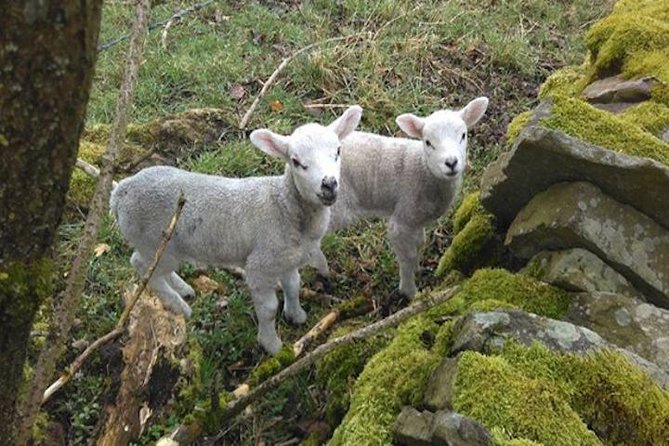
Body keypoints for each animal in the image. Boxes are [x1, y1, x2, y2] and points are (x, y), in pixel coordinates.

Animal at [109, 106, 360, 354]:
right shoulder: (260, 265)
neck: (283, 205)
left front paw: (296, 315)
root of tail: (121, 190)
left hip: (163, 245)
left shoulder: (287, 260)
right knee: (141, 265)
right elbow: (269, 308)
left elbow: (293, 286)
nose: (329, 185)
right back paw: (179, 305)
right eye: (296, 161)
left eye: (338, 151)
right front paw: (272, 345)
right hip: (150, 239)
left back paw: (183, 289)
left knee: (155, 268)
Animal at [310, 98, 488, 300]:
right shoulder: (403, 217)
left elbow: (419, 243)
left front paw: (418, 268)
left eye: (463, 135)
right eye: (428, 142)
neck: (424, 172)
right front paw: (410, 292)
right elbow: (407, 256)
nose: (451, 163)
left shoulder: (416, 219)